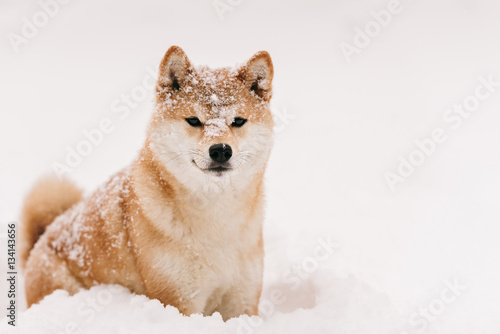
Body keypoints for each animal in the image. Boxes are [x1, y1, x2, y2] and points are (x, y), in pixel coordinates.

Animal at [19, 45, 276, 320]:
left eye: (238, 121)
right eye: (194, 120)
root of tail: (40, 240)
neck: (216, 218)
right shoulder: (177, 298)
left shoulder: (242, 301)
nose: (220, 150)